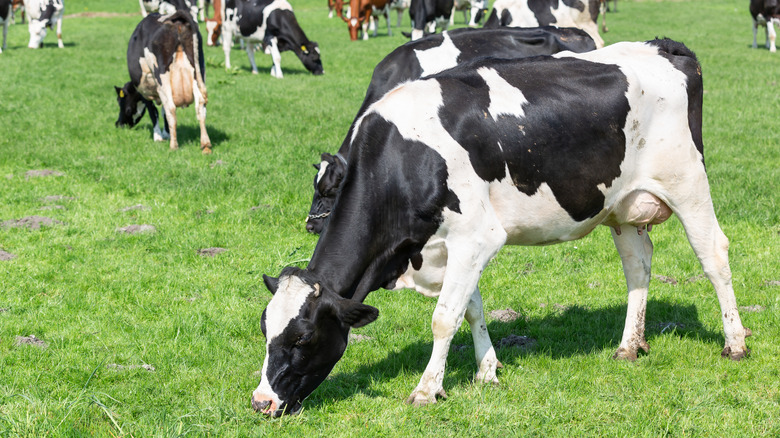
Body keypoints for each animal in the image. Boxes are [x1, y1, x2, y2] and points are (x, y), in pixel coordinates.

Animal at [112, 11, 210, 154]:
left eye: (122, 103)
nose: (119, 124)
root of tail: (177, 18)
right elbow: (162, 112)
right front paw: (166, 133)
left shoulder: (147, 89)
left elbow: (154, 112)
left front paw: (158, 136)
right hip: (198, 72)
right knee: (200, 106)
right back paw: (205, 145)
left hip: (162, 76)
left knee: (171, 109)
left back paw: (173, 146)